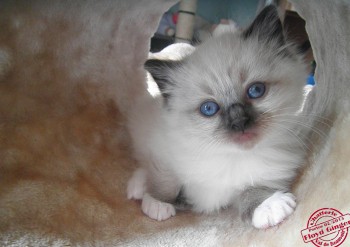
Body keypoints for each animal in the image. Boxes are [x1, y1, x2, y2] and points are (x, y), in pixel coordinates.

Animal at [127, 5, 308, 229]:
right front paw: (158, 204)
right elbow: (167, 181)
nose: (239, 122)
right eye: (209, 108)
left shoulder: (261, 175)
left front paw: (269, 206)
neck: (230, 156)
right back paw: (136, 189)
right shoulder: (162, 151)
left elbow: (252, 190)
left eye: (256, 90)